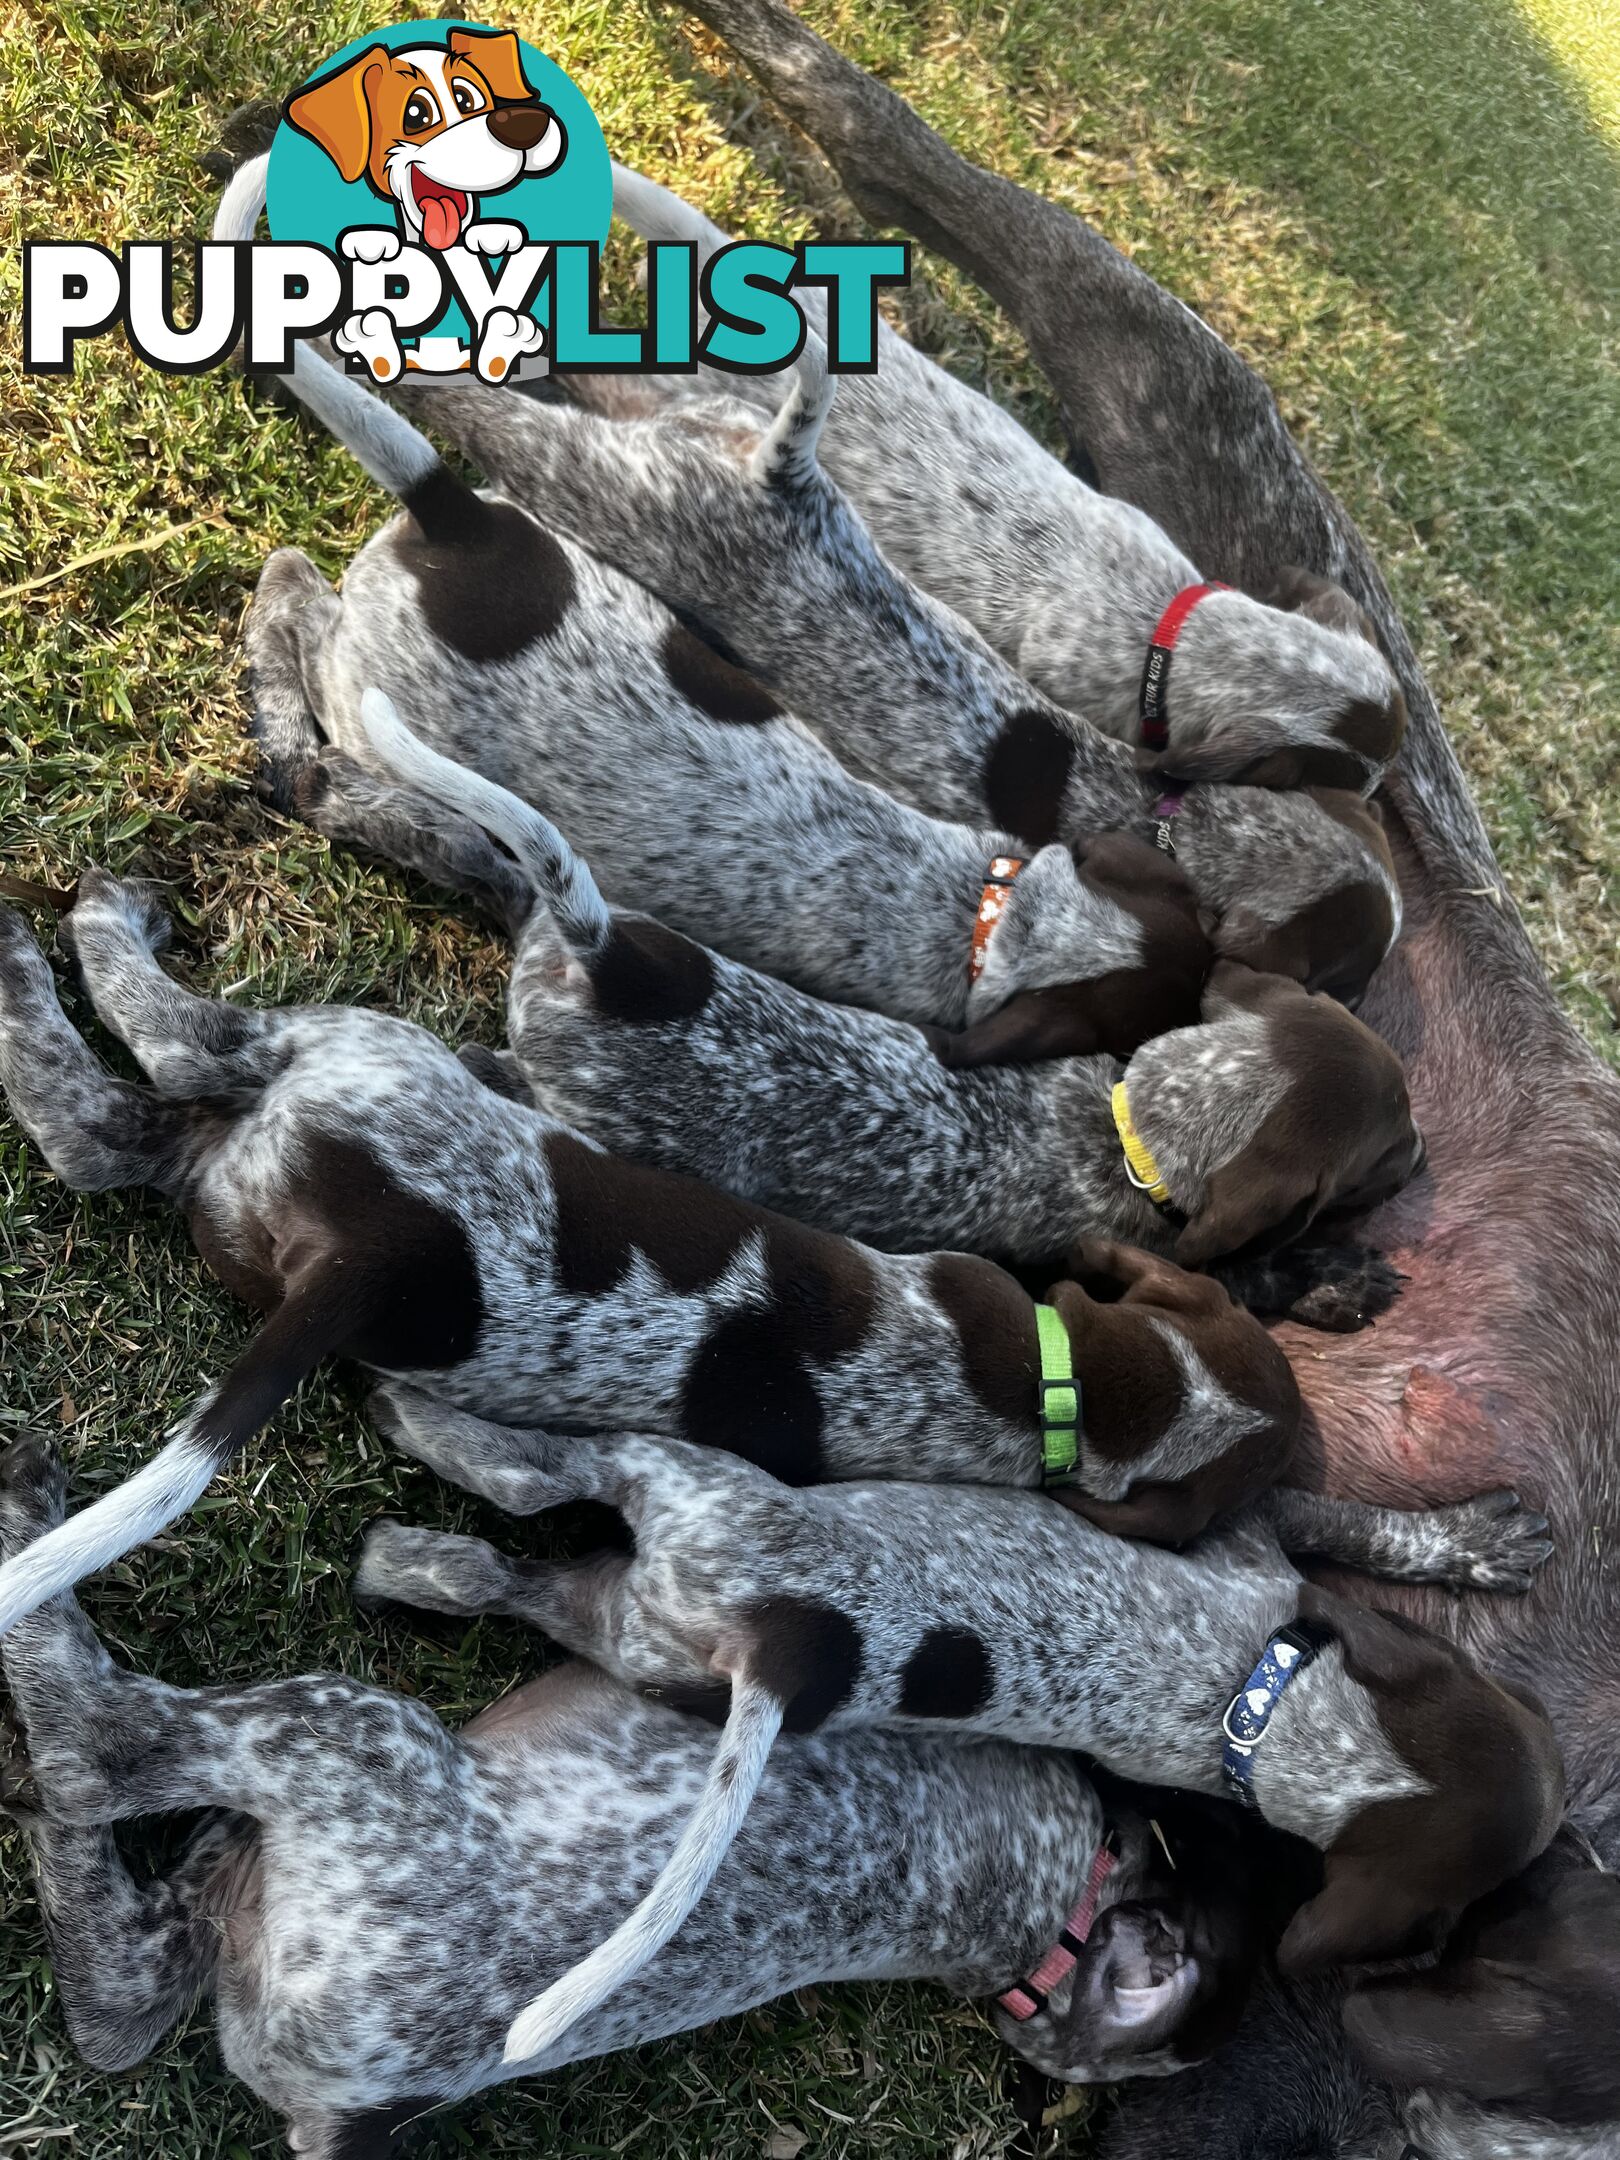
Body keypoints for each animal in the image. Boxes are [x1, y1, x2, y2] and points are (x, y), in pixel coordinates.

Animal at [0, 859, 1304, 1632]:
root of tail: (374, 1253)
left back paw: (70, 938)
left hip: (338, 1076)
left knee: (126, 1093)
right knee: (140, 1084)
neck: (1084, 1385)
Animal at [0, 1425, 1304, 2151]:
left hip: (339, 1734)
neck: (1044, 1918)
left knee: (91, 1747)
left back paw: (31, 1541)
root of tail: (354, 2109)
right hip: (205, 1911)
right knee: (110, 2004)